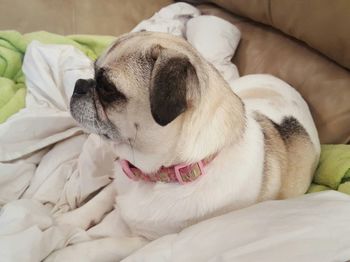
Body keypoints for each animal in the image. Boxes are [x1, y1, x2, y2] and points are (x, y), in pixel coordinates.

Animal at [50, 31, 322, 260]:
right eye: (93, 71)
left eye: (108, 88)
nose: (79, 85)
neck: (156, 176)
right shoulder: (122, 180)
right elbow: (101, 199)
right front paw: (68, 221)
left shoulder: (146, 241)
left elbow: (99, 246)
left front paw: (62, 252)